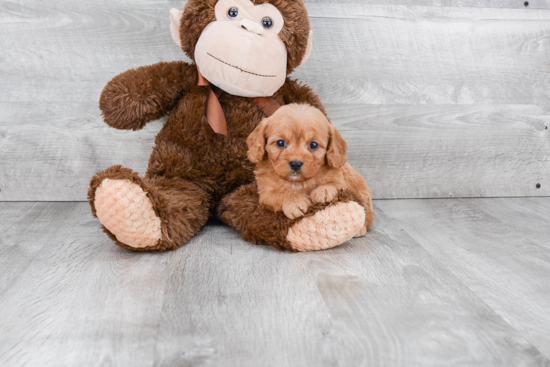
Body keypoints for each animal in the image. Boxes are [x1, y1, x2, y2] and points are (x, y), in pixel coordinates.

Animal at [249, 103, 376, 236]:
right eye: (280, 143)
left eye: (313, 145)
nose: (295, 164)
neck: (299, 182)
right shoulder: (266, 194)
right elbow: (280, 193)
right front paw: (295, 201)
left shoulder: (340, 180)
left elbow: (333, 184)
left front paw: (324, 190)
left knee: (368, 212)